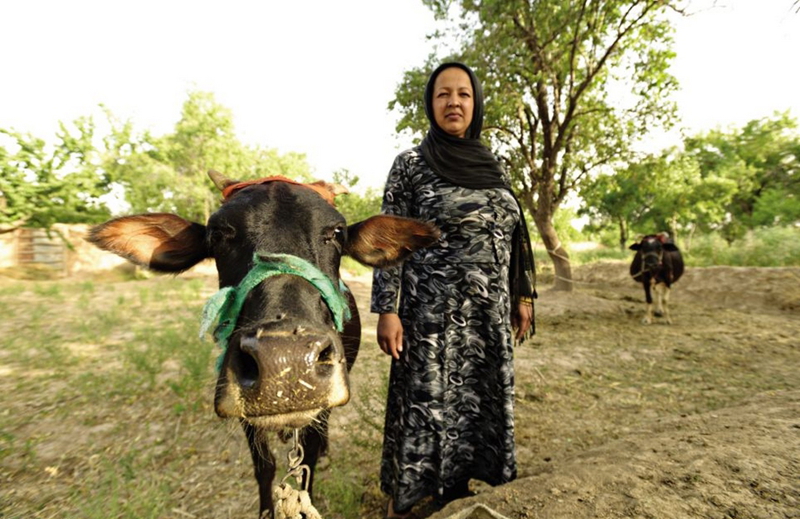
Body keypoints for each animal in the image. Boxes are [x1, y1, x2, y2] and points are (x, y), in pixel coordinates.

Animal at [90, 170, 440, 516]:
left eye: (337, 232)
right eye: (218, 233)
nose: (286, 362)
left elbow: (307, 467)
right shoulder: (246, 418)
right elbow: (264, 467)